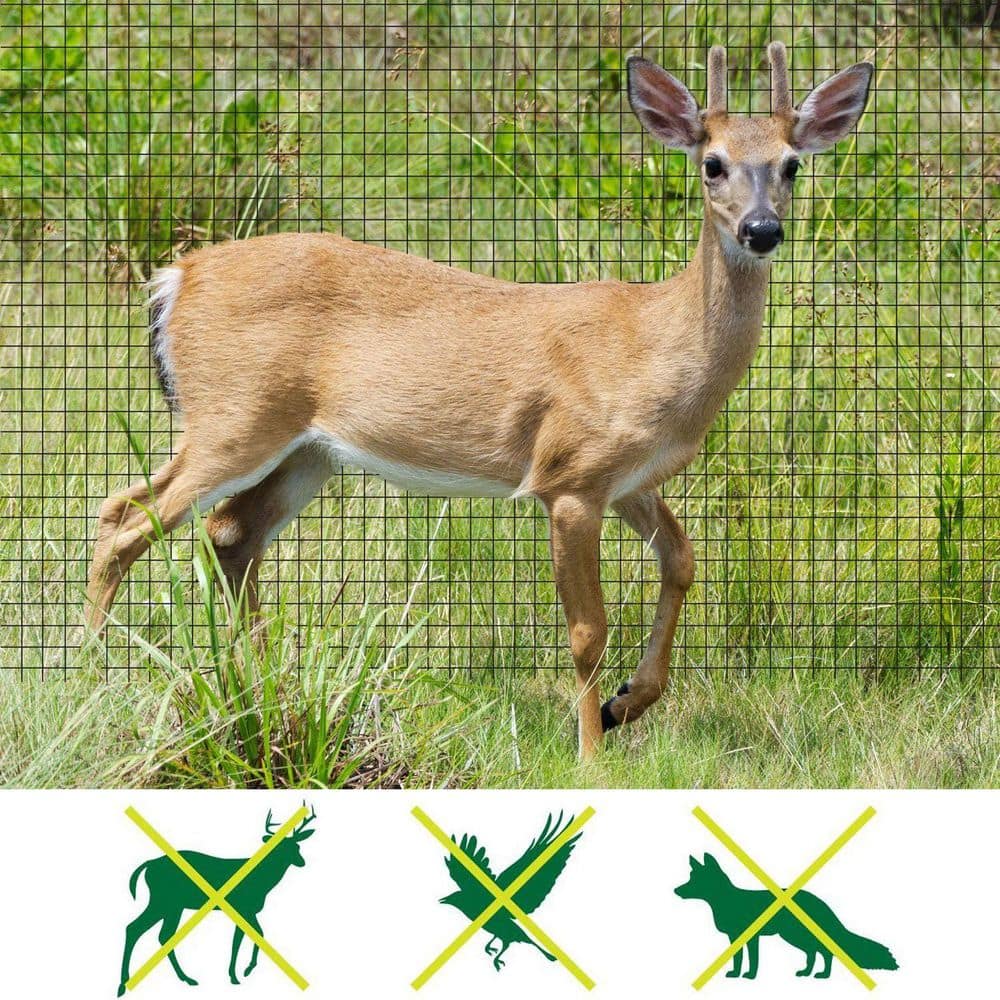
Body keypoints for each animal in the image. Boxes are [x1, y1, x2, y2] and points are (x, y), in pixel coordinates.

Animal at [85, 42, 873, 760]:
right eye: (712, 163)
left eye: (792, 164)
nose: (762, 230)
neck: (653, 344)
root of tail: (175, 278)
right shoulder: (570, 476)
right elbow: (587, 631)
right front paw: (592, 754)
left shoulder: (628, 478)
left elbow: (682, 559)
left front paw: (626, 703)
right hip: (234, 416)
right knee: (125, 516)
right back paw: (90, 676)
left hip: (307, 451)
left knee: (228, 534)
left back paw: (258, 686)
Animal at [117, 806, 316, 995]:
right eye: (280, 847)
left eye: (297, 847)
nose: (302, 862)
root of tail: (148, 864)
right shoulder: (243, 907)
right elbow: (244, 939)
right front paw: (238, 974)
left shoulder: (248, 911)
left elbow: (256, 935)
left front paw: (243, 971)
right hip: (163, 901)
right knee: (138, 929)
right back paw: (125, 984)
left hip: (173, 906)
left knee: (157, 934)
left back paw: (182, 979)